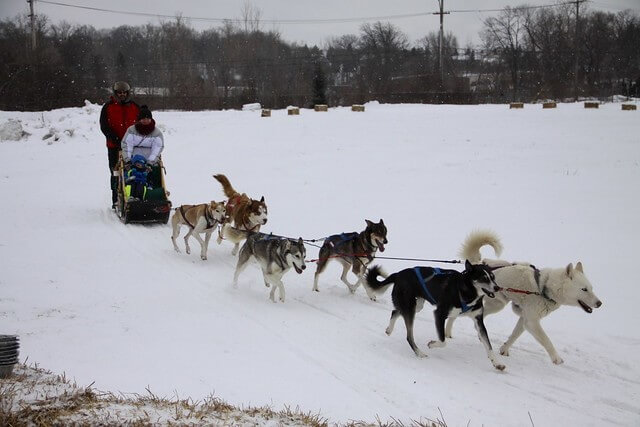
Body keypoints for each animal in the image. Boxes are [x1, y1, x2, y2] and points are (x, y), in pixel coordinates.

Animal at [364, 260, 504, 372]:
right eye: (483, 278)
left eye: (493, 277)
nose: (497, 287)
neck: (465, 291)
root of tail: (399, 274)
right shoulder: (439, 314)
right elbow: (442, 341)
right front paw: (431, 344)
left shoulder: (478, 321)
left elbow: (488, 345)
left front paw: (497, 363)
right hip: (410, 308)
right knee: (409, 336)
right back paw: (419, 353)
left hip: (415, 306)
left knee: (395, 311)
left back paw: (389, 329)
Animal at [448, 229, 604, 366]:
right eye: (584, 289)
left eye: (591, 288)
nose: (600, 303)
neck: (544, 288)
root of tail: (477, 264)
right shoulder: (532, 322)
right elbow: (547, 340)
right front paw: (556, 358)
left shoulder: (524, 319)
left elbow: (514, 335)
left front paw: (504, 349)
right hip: (497, 304)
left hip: (496, 304)